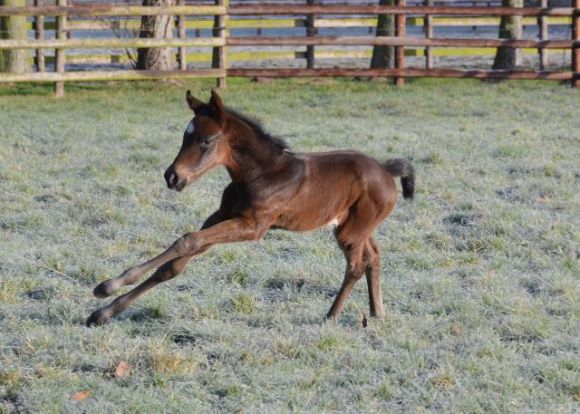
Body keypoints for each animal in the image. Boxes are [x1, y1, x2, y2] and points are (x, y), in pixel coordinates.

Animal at [85, 90, 412, 326]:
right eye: (185, 136)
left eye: (206, 140)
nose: (172, 177)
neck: (261, 174)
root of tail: (387, 170)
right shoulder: (221, 217)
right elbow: (176, 262)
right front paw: (102, 311)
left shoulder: (252, 227)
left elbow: (186, 241)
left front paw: (108, 287)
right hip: (357, 226)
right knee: (374, 256)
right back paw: (377, 313)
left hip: (350, 231)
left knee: (356, 265)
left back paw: (331, 316)